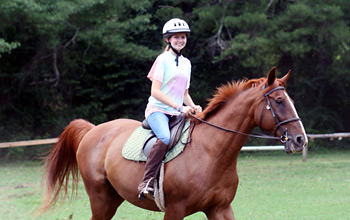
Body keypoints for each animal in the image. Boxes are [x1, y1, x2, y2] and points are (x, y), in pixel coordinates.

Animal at [41, 67, 308, 220]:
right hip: (100, 199)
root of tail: (93, 130)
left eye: (291, 100)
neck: (212, 153)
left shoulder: (220, 208)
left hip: (112, 198)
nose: (300, 139)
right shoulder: (175, 210)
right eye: (279, 101)